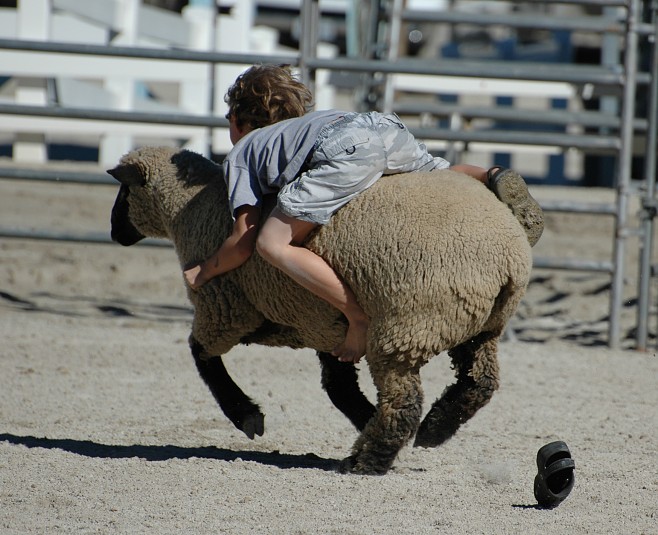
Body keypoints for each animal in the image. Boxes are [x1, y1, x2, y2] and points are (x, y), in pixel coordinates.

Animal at [106, 146, 528, 474]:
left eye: (123, 191)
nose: (113, 233)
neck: (192, 211)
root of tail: (507, 258)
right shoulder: (325, 325)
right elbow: (339, 387)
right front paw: (362, 416)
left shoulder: (225, 308)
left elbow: (201, 355)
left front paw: (246, 416)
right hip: (479, 327)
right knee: (479, 383)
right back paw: (433, 430)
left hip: (406, 329)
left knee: (404, 404)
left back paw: (367, 462)